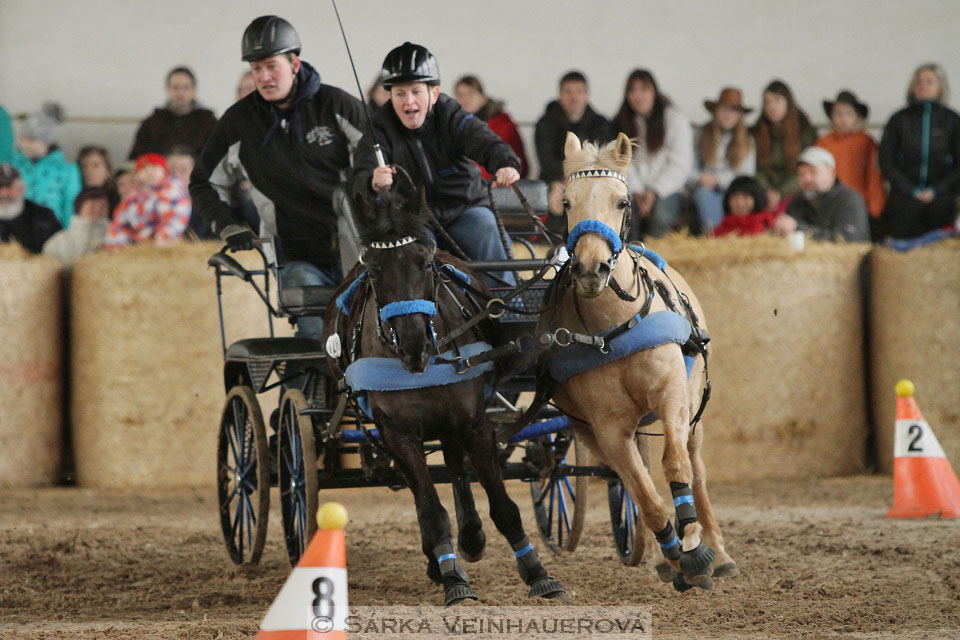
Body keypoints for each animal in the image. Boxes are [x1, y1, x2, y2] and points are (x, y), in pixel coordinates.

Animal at [324, 181, 564, 604]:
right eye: (374, 269)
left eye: (425, 261)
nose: (414, 345)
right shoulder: (397, 432)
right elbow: (431, 510)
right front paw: (453, 579)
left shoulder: (474, 423)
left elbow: (502, 505)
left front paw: (538, 573)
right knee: (426, 493)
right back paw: (443, 557)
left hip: (449, 423)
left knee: (455, 467)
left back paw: (470, 536)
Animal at [540, 132, 736, 592]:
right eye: (567, 203)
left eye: (622, 202)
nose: (590, 268)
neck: (615, 328)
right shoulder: (608, 428)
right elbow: (644, 495)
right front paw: (678, 554)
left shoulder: (672, 395)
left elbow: (675, 464)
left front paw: (696, 544)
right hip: (589, 430)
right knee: (628, 478)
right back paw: (669, 555)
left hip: (694, 409)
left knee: (696, 466)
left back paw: (718, 550)